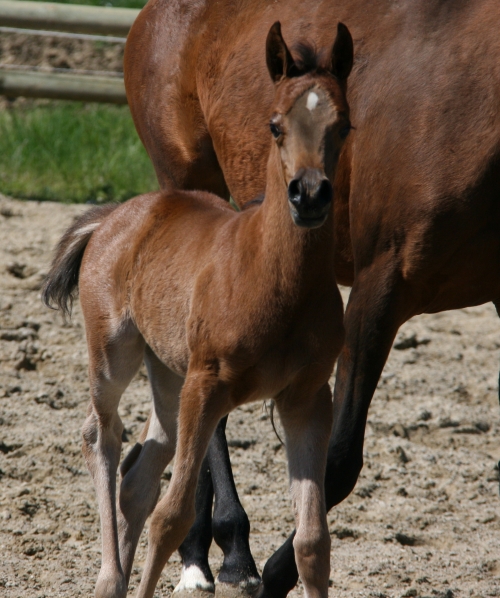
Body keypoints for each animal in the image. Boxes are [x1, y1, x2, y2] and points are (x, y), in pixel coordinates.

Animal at [45, 22, 354, 598]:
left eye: (343, 125)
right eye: (274, 125)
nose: (309, 194)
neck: (271, 277)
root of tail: (115, 216)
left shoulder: (306, 399)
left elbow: (313, 542)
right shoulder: (207, 387)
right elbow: (172, 516)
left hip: (167, 372)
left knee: (141, 471)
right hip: (115, 354)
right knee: (102, 436)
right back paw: (109, 578)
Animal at [125, 0, 500, 596]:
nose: (309, 194)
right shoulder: (380, 286)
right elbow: (339, 460)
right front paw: (275, 575)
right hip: (187, 177)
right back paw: (220, 551)